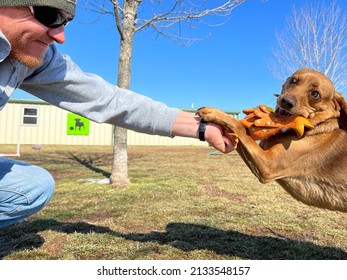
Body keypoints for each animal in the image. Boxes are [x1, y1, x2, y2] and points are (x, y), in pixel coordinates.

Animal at [198, 68, 347, 212]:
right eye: (293, 80)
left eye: (315, 94)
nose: (286, 101)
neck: (315, 127)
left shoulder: (268, 165)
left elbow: (240, 128)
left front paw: (215, 113)